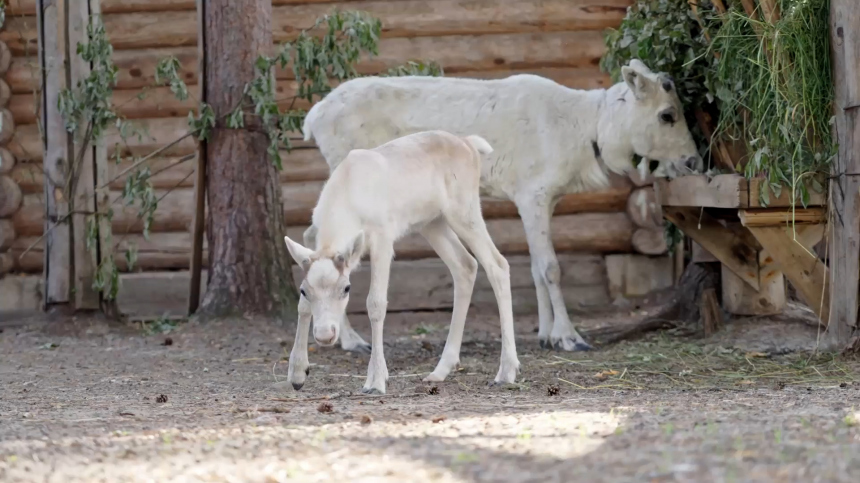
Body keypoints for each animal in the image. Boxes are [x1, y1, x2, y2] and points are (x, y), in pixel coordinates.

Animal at [286, 130, 520, 396]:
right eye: (304, 290)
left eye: (346, 288)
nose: (325, 335)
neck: (347, 197)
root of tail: (469, 144)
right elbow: (302, 307)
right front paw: (297, 374)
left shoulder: (383, 238)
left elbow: (376, 303)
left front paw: (376, 381)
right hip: (432, 222)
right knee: (465, 265)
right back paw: (440, 370)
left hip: (464, 210)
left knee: (497, 264)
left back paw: (506, 372)